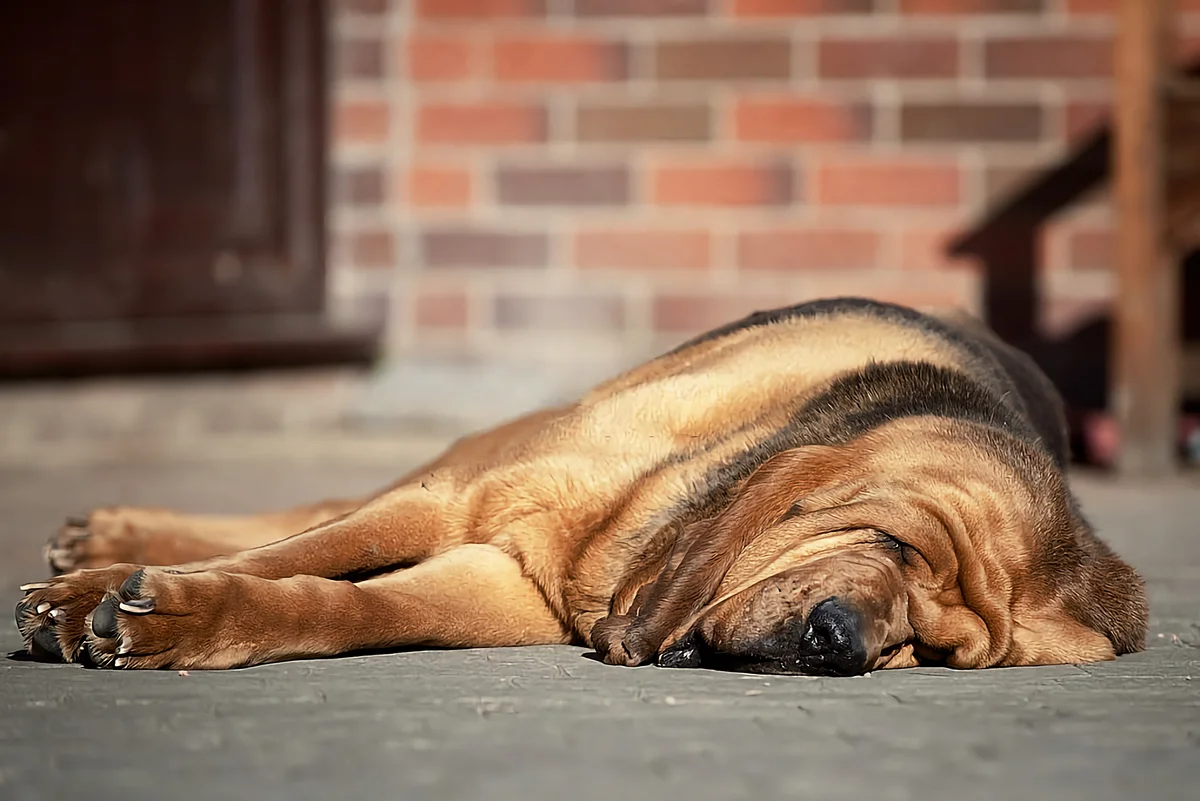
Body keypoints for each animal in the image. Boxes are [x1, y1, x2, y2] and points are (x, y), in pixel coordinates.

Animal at [14, 297, 1147, 671]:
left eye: (933, 651)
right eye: (894, 545)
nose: (838, 642)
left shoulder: (496, 583)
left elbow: (331, 605)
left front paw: (188, 620)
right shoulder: (457, 498)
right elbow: (303, 548)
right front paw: (91, 597)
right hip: (472, 452)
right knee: (318, 507)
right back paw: (108, 537)